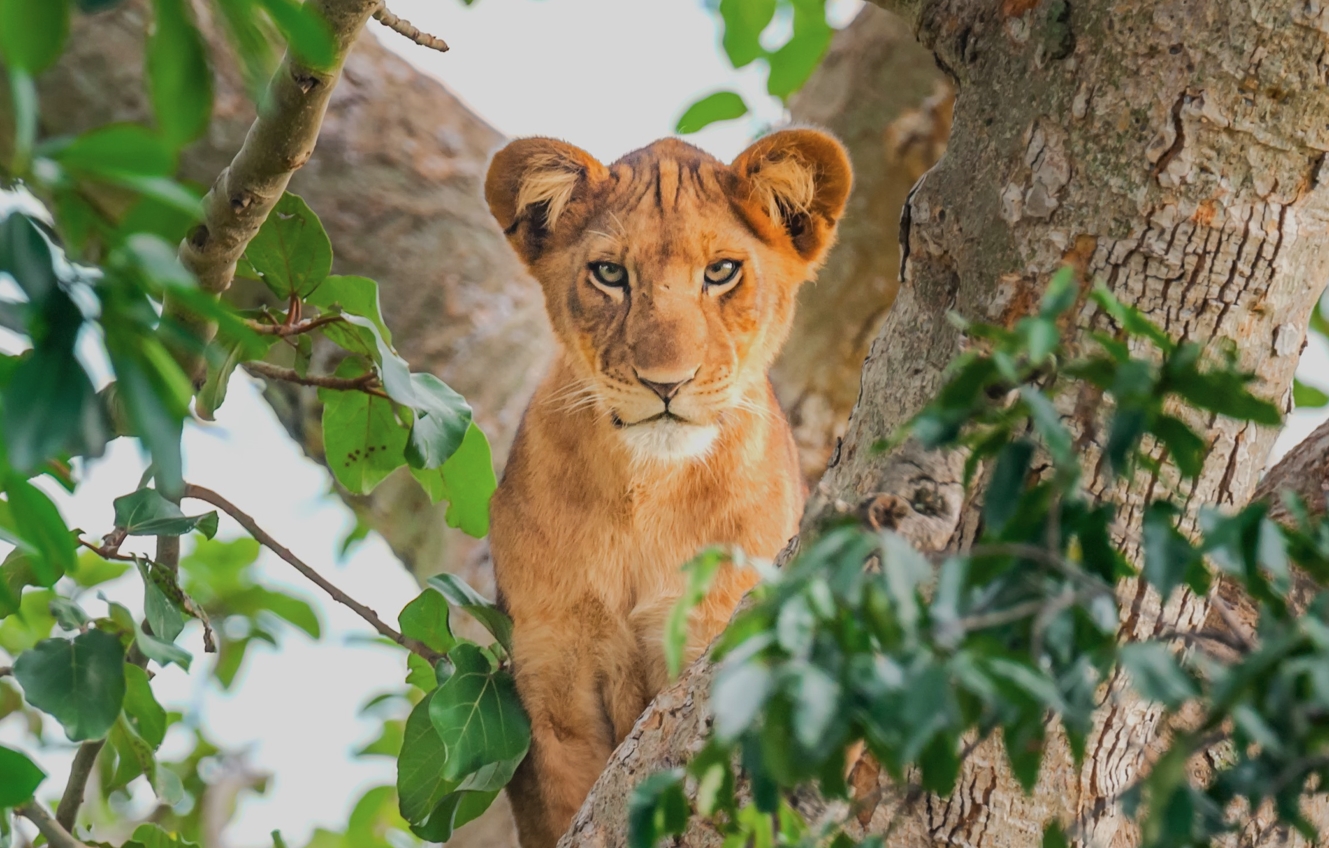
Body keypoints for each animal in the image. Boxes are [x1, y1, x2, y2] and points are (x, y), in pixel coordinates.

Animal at [484, 128, 852, 847]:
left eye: (721, 272)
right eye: (609, 274)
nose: (665, 383)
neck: (645, 492)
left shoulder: (710, 628)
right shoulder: (553, 673)